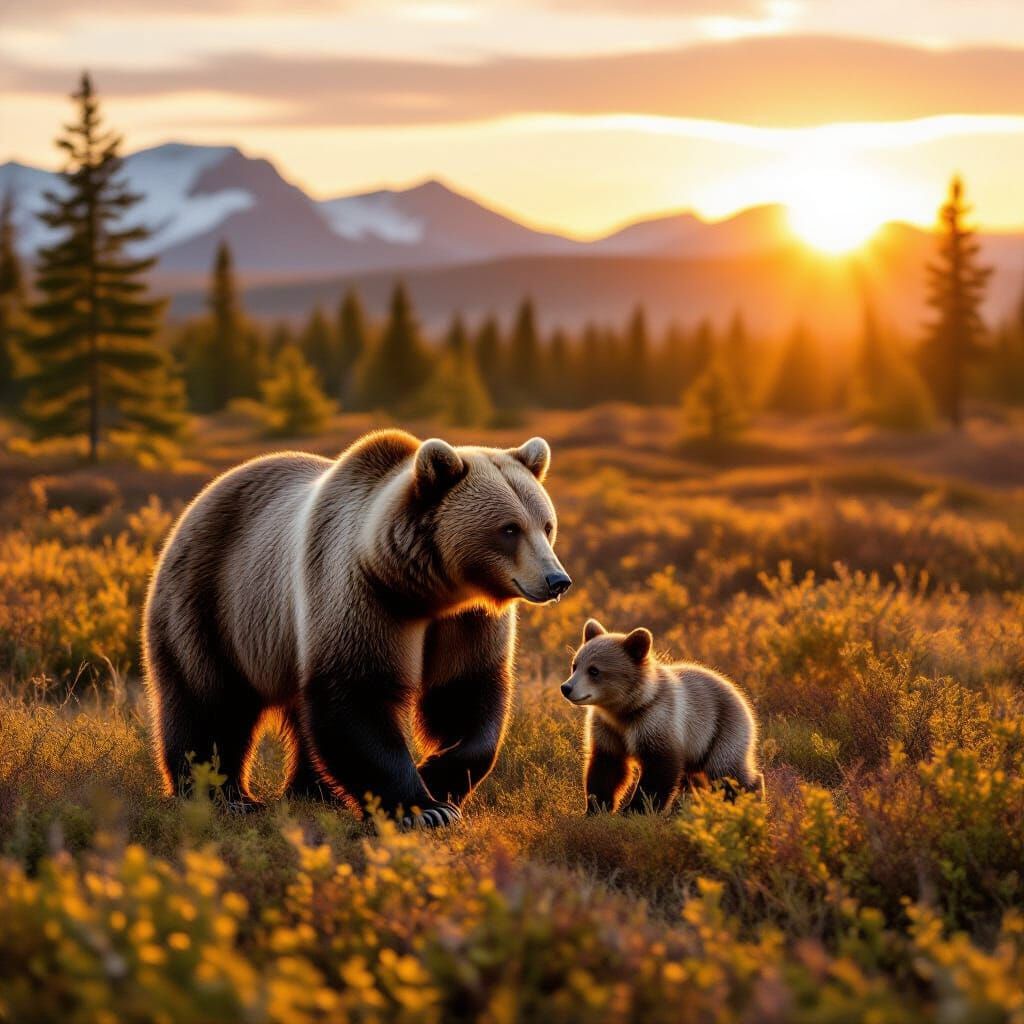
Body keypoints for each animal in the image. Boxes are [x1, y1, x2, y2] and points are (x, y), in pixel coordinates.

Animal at [143, 429, 571, 828]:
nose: (556, 580)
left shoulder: (467, 623)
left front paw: (437, 776)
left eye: (547, 525)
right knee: (208, 701)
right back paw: (222, 794)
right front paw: (424, 808)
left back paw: (313, 791)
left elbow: (465, 696)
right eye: (509, 528)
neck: (429, 592)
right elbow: (359, 695)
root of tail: (200, 499)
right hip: (211, 602)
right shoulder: (362, 596)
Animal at [561, 619, 763, 814]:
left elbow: (659, 770)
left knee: (726, 770)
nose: (566, 688)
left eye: (594, 670)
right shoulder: (607, 729)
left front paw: (636, 809)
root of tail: (740, 694)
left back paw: (751, 795)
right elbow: (606, 767)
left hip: (721, 730)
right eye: (575, 665)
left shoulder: (657, 720)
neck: (623, 710)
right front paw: (595, 807)